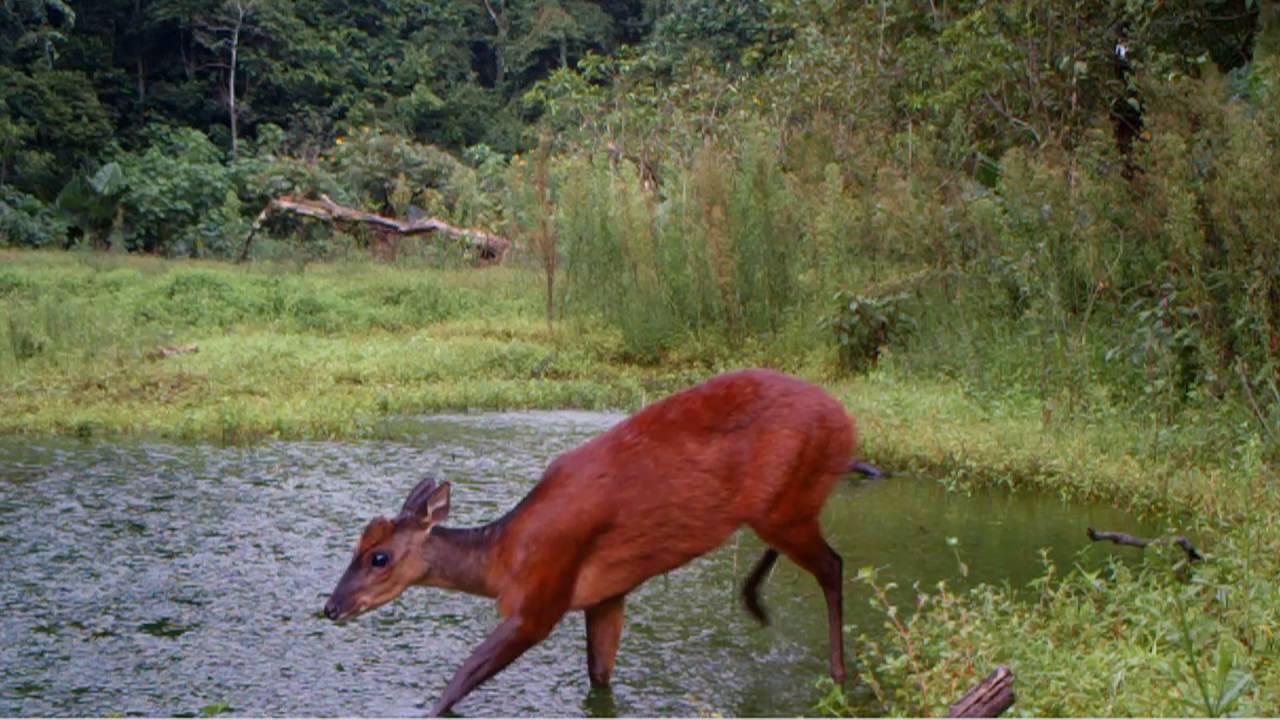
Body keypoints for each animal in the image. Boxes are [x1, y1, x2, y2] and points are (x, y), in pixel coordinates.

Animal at [323, 368, 878, 716]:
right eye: (353, 549)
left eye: (379, 557)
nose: (331, 607)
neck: (504, 557)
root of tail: (847, 421)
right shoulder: (604, 595)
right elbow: (599, 679)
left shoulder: (540, 600)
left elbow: (456, 684)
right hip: (786, 503)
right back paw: (756, 603)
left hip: (785, 501)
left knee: (833, 565)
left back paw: (838, 677)